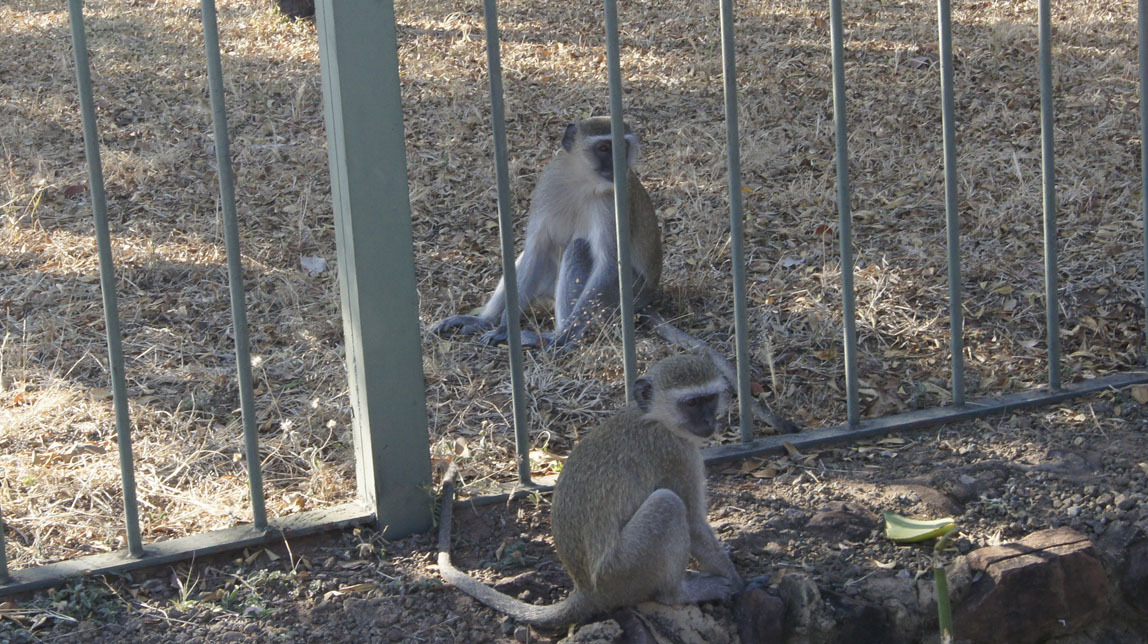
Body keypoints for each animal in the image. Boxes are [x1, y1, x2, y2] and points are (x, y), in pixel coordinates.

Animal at [431, 351, 743, 629]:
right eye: (692, 403)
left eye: (709, 399)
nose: (709, 422)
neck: (654, 419)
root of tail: (587, 590)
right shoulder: (676, 454)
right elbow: (694, 523)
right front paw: (738, 580)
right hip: (623, 571)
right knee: (668, 504)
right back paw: (679, 593)